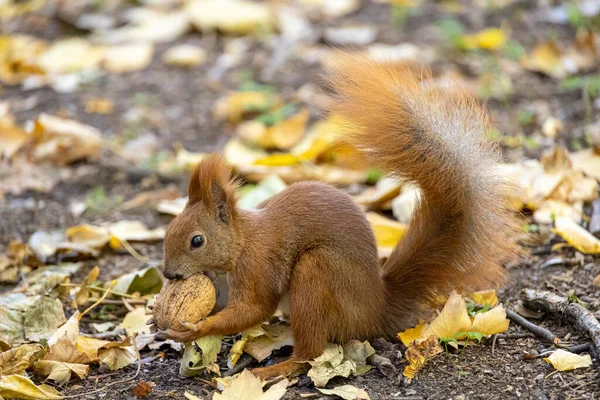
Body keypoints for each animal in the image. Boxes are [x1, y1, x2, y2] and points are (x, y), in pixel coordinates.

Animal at [161, 54, 520, 380]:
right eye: (168, 230)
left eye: (197, 241)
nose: (168, 274)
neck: (239, 244)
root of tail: (375, 308)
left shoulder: (257, 267)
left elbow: (253, 310)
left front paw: (193, 328)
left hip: (318, 272)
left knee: (310, 353)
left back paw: (275, 370)